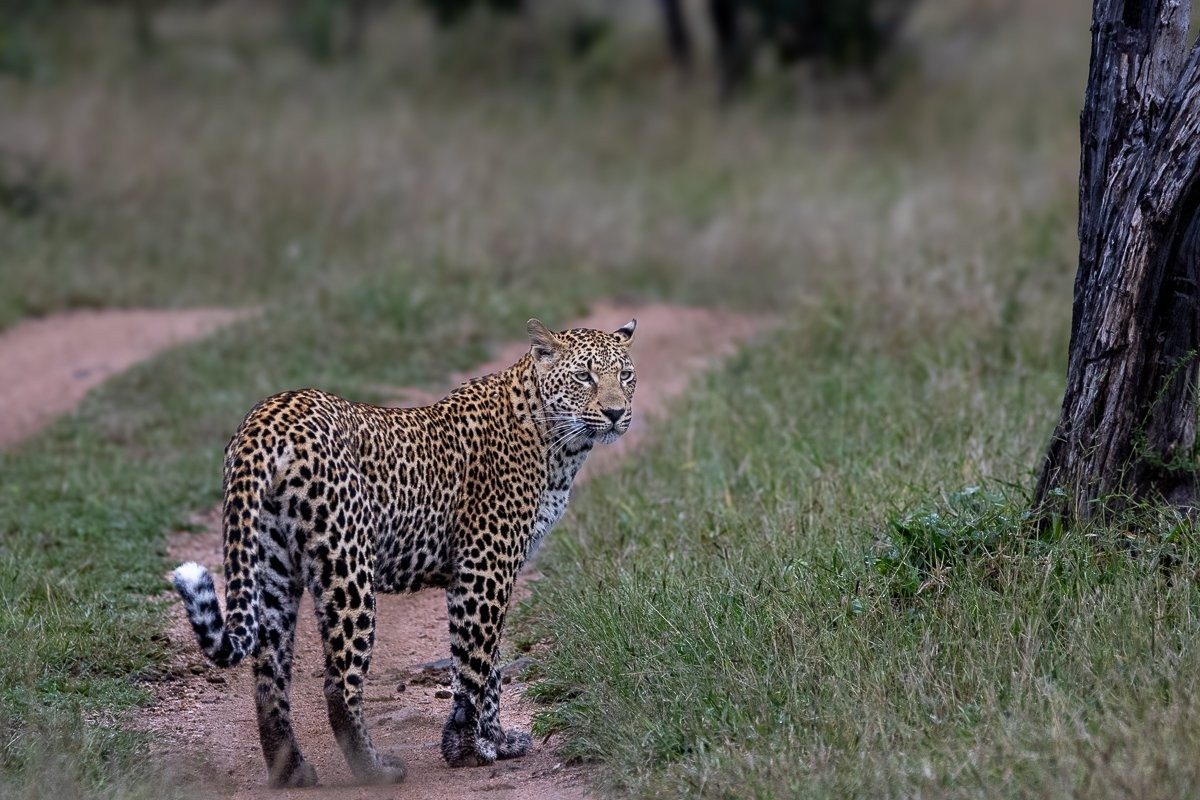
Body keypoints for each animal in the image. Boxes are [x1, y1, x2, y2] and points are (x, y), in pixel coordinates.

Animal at [171, 317, 637, 787]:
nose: (616, 413)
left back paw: (293, 773)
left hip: (271, 571)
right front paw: (467, 750)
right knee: (339, 684)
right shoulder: (485, 566)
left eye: (625, 376)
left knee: (269, 677)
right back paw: (375, 770)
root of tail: (266, 418)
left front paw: (497, 742)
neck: (557, 445)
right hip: (349, 566)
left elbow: (490, 668)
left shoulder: (487, 571)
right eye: (584, 377)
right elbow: (476, 664)